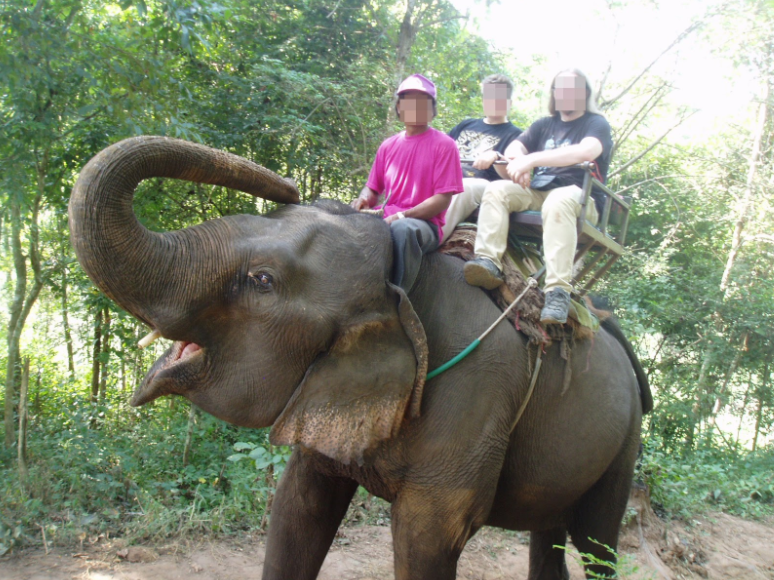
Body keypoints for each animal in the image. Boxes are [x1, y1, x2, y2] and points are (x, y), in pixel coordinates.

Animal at [70, 136, 651, 580]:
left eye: (262, 280)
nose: (288, 186)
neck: (404, 287)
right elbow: (298, 507)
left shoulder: (480, 391)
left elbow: (427, 535)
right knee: (549, 533)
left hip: (626, 441)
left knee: (597, 540)